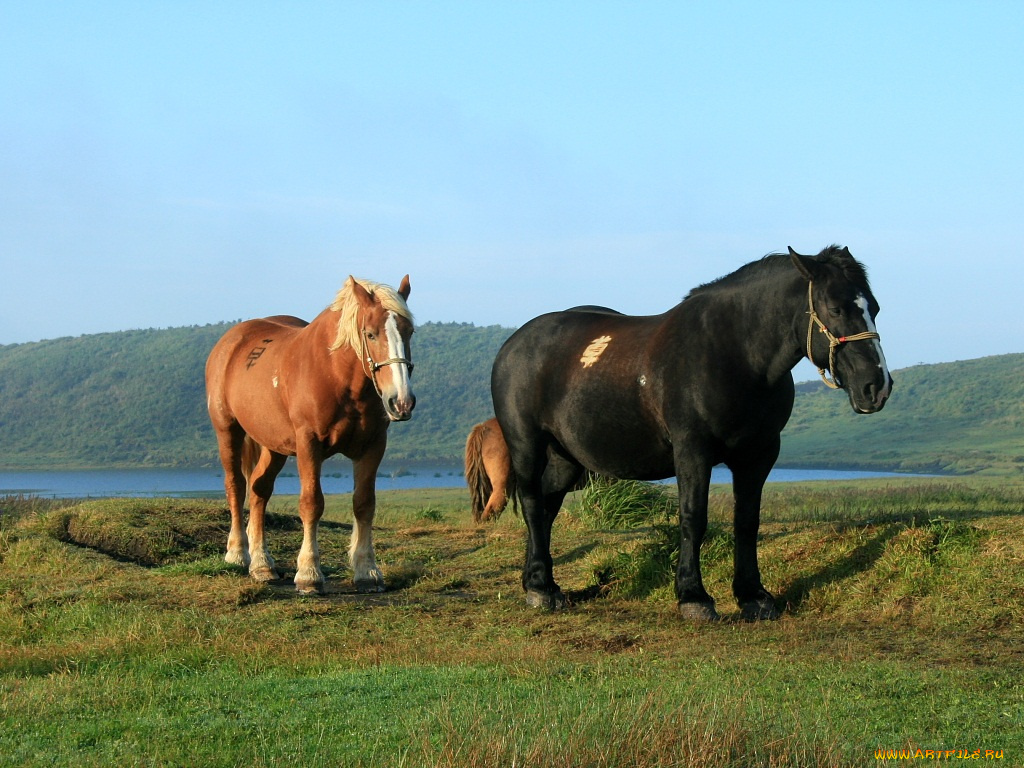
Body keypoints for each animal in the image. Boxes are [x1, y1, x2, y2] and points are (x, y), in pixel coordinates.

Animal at [205, 276, 413, 593]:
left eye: (409, 331)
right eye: (370, 334)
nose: (401, 402)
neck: (335, 375)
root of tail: (230, 341)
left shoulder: (372, 446)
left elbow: (364, 504)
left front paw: (367, 570)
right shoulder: (309, 444)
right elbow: (312, 504)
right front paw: (309, 573)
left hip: (273, 445)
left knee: (259, 489)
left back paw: (262, 564)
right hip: (228, 430)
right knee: (236, 485)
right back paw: (238, 553)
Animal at [491, 249, 892, 622]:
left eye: (874, 307)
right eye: (835, 308)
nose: (876, 386)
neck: (735, 353)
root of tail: (513, 344)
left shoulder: (759, 454)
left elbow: (747, 521)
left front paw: (753, 595)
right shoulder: (692, 451)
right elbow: (693, 517)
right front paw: (693, 597)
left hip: (566, 457)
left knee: (547, 505)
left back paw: (538, 579)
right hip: (527, 445)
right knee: (532, 502)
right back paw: (541, 588)